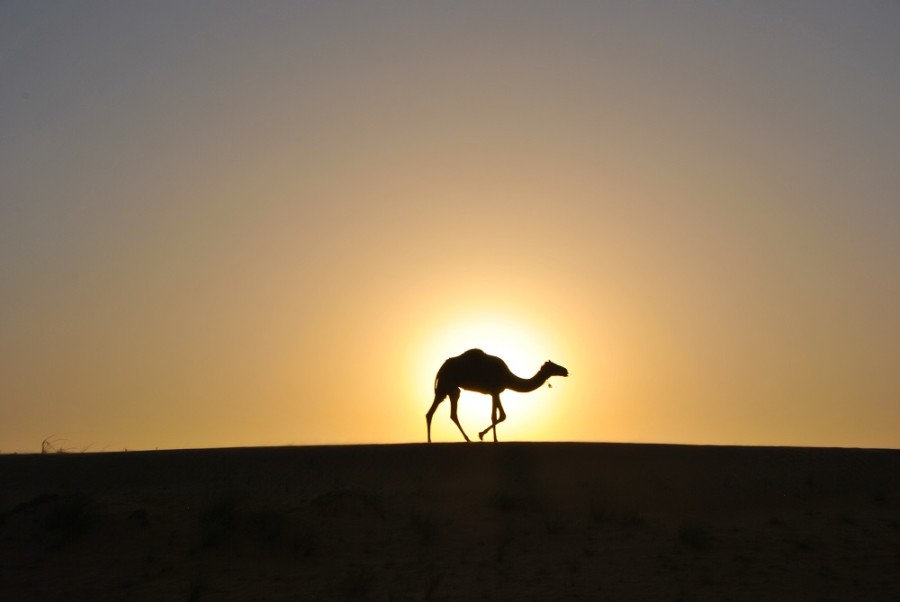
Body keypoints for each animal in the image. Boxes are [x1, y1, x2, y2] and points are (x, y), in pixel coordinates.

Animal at [428, 346, 568, 440]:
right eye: (553, 366)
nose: (565, 370)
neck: (507, 377)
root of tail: (441, 368)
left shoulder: (496, 392)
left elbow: (501, 416)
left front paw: (484, 435)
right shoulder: (495, 390)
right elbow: (496, 416)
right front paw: (488, 437)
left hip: (448, 388)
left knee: (438, 412)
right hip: (447, 384)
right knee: (442, 411)